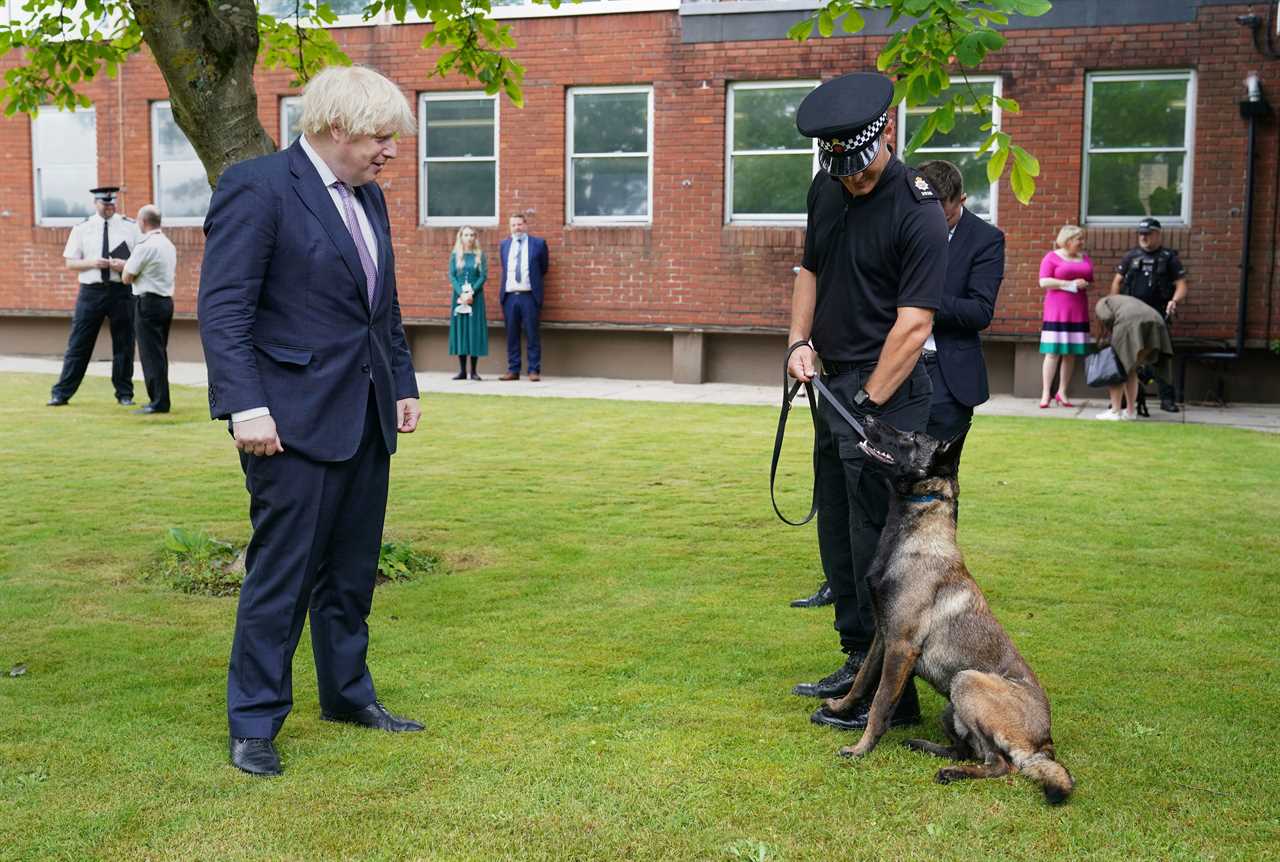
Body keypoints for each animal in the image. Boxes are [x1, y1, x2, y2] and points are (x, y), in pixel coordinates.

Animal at [819, 412, 1070, 804]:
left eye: (911, 436)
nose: (867, 414)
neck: (918, 531)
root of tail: (1046, 743)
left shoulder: (901, 647)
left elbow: (880, 704)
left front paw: (861, 748)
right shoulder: (883, 637)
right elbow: (861, 681)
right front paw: (840, 707)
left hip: (965, 681)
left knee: (1001, 765)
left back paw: (952, 772)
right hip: (950, 705)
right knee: (973, 751)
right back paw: (928, 748)